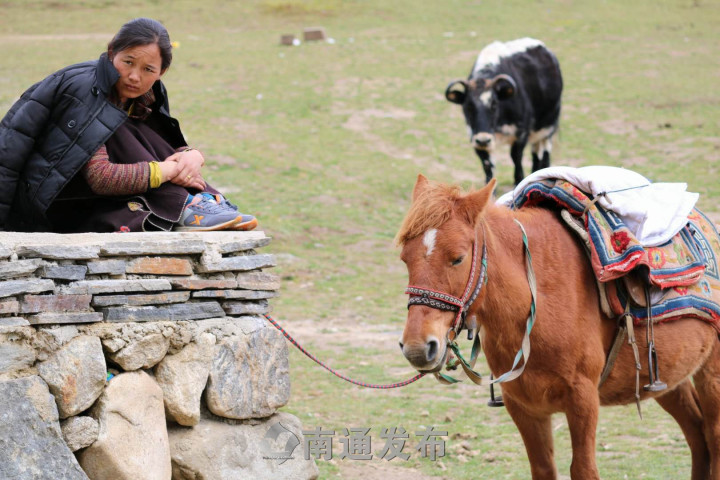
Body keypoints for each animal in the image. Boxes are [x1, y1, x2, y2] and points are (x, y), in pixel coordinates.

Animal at [396, 174, 720, 478]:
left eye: (458, 259)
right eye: (405, 259)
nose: (418, 348)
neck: (536, 300)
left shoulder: (583, 399)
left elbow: (583, 469)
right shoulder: (524, 406)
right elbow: (543, 468)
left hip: (711, 373)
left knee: (713, 436)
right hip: (667, 374)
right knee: (697, 435)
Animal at [444, 37, 564, 184]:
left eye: (494, 104)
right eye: (467, 107)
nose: (484, 140)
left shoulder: (521, 134)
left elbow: (516, 160)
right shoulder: (475, 138)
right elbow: (488, 167)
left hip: (547, 129)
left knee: (544, 155)